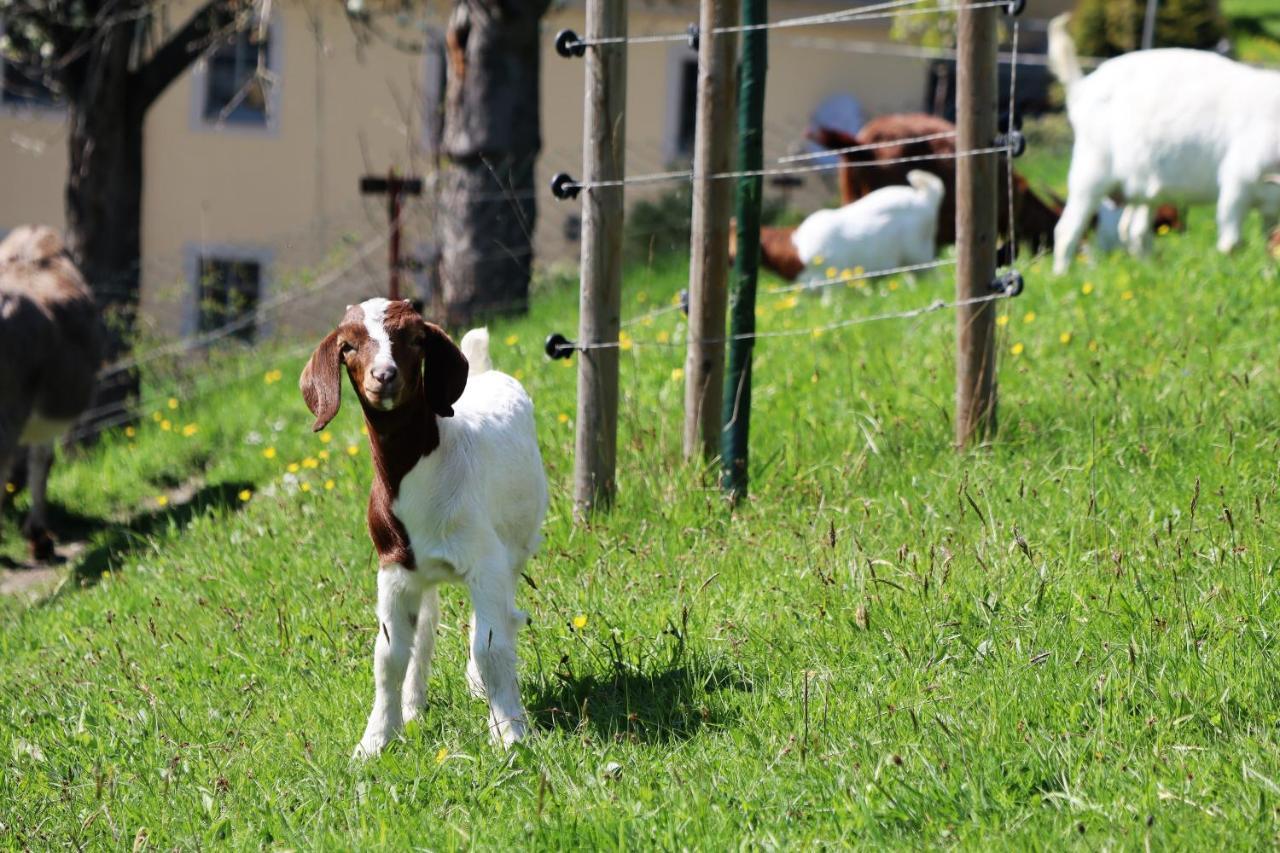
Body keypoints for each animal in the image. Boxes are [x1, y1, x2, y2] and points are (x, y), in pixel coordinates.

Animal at [302, 298, 547, 758]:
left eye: (416, 339)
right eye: (348, 346)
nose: (384, 375)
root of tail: (485, 372)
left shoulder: (484, 561)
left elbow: (490, 646)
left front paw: (508, 732)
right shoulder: (395, 570)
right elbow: (390, 654)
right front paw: (376, 740)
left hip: (511, 547)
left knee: (497, 617)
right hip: (424, 573)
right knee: (426, 628)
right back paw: (414, 706)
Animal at [1049, 13, 1280, 272]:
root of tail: (1082, 87)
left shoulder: (1271, 204)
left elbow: (1270, 244)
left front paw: (1268, 272)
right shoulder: (1237, 182)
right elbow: (1232, 243)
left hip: (1141, 187)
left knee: (1133, 230)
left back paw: (1149, 270)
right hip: (1091, 171)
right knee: (1068, 229)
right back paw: (1062, 274)